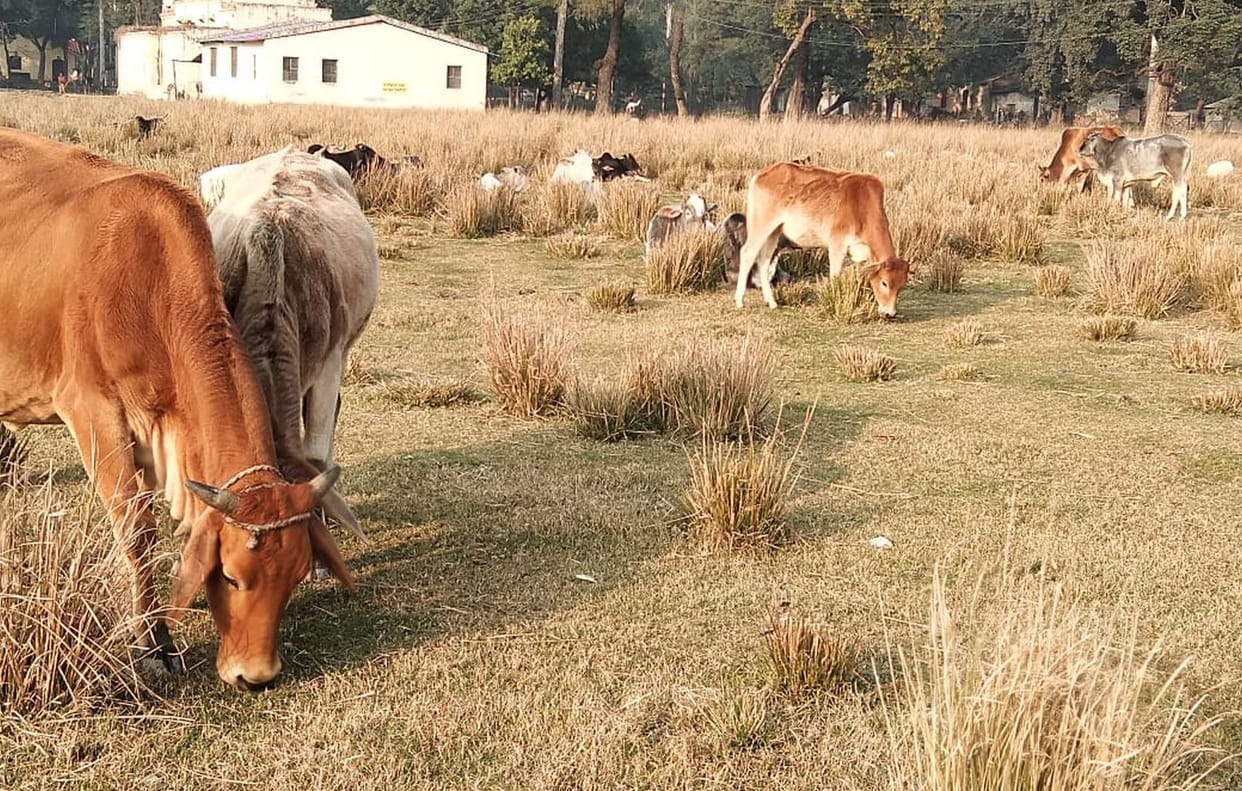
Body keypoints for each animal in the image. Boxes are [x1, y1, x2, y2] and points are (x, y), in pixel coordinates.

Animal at [0, 128, 355, 690]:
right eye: (230, 576)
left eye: (296, 574)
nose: (257, 676)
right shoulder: (93, 413)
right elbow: (137, 529)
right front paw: (153, 643)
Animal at [735, 162, 910, 317]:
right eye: (884, 282)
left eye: (901, 286)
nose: (889, 313)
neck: (862, 206)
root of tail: (762, 174)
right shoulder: (837, 244)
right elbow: (835, 276)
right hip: (761, 226)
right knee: (747, 253)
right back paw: (739, 300)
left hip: (774, 232)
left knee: (764, 260)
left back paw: (771, 302)